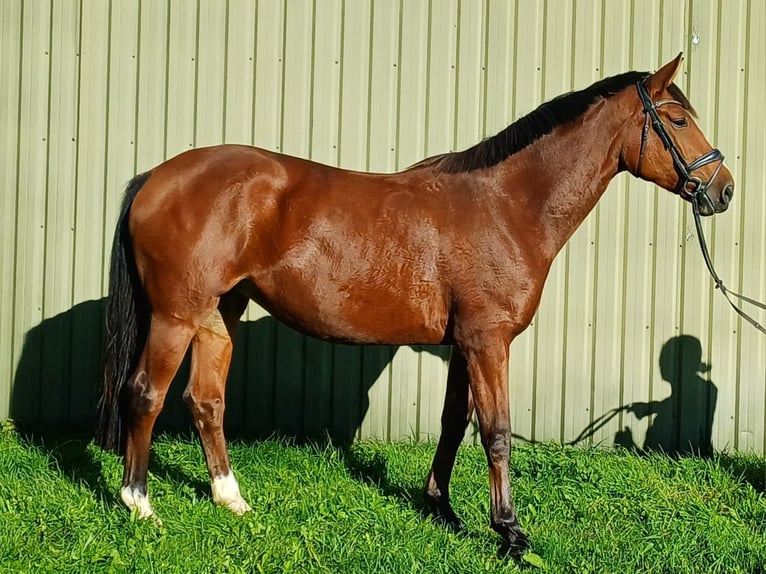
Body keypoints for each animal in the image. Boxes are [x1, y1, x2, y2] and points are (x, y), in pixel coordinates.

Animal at [96, 53, 733, 554]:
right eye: (678, 119)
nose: (723, 189)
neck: (507, 205)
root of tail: (157, 177)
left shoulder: (463, 346)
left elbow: (454, 424)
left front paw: (441, 508)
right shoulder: (488, 343)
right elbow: (497, 432)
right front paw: (510, 532)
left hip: (218, 316)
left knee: (206, 401)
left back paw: (231, 500)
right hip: (175, 316)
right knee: (145, 395)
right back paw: (139, 505)